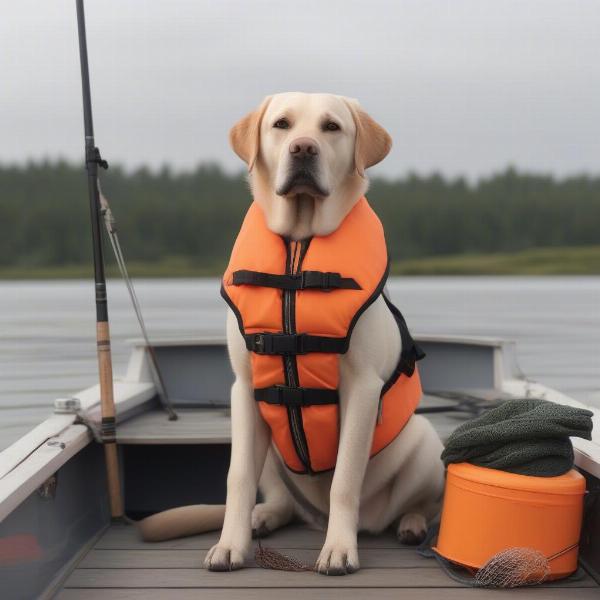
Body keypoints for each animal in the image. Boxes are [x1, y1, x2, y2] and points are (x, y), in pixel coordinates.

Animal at [138, 94, 442, 576]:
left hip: (426, 443)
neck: (299, 244)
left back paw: (409, 524)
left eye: (331, 127)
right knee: (282, 501)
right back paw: (264, 517)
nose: (303, 148)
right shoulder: (245, 389)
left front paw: (339, 550)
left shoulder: (361, 388)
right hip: (268, 440)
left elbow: (345, 479)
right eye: (281, 124)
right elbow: (238, 477)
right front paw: (230, 545)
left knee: (421, 503)